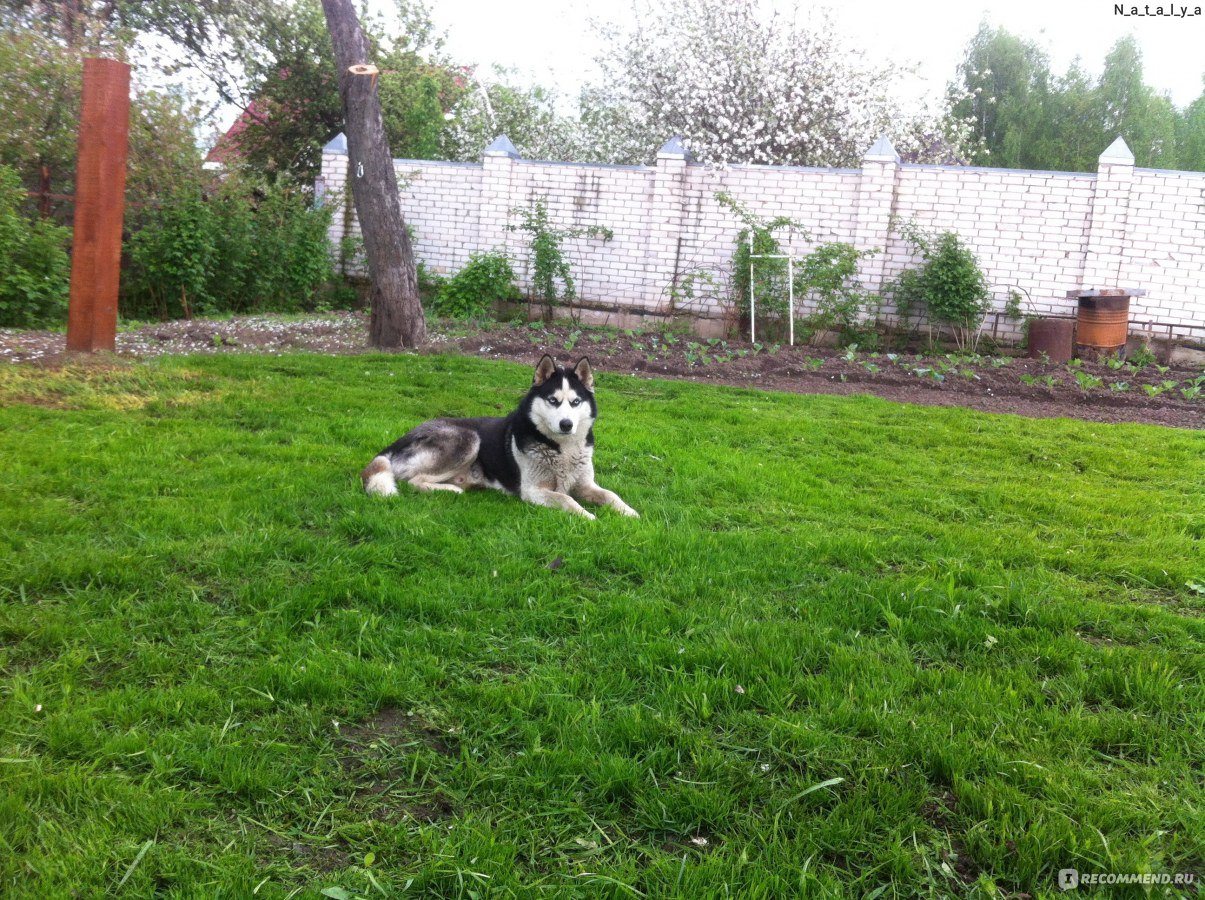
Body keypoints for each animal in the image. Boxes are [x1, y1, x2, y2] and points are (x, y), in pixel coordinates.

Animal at [356, 354, 641, 520]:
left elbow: (610, 495)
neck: (562, 449)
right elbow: (566, 498)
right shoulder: (533, 491)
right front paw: (587, 516)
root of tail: (400, 439)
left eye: (575, 402)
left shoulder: (586, 485)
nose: (566, 424)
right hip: (468, 438)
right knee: (413, 481)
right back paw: (450, 489)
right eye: (553, 401)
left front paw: (629, 512)